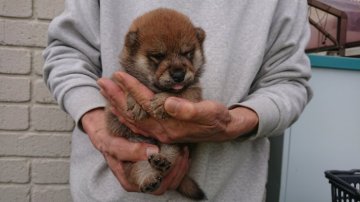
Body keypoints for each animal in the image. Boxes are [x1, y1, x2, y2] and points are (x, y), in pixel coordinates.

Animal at [104, 7, 205, 200]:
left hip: (172, 147)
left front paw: (162, 101)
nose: (179, 75)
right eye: (158, 56)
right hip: (132, 158)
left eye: (187, 53)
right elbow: (128, 86)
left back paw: (161, 162)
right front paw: (136, 103)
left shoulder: (194, 92)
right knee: (136, 170)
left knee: (168, 162)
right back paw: (148, 178)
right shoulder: (120, 79)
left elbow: (181, 93)